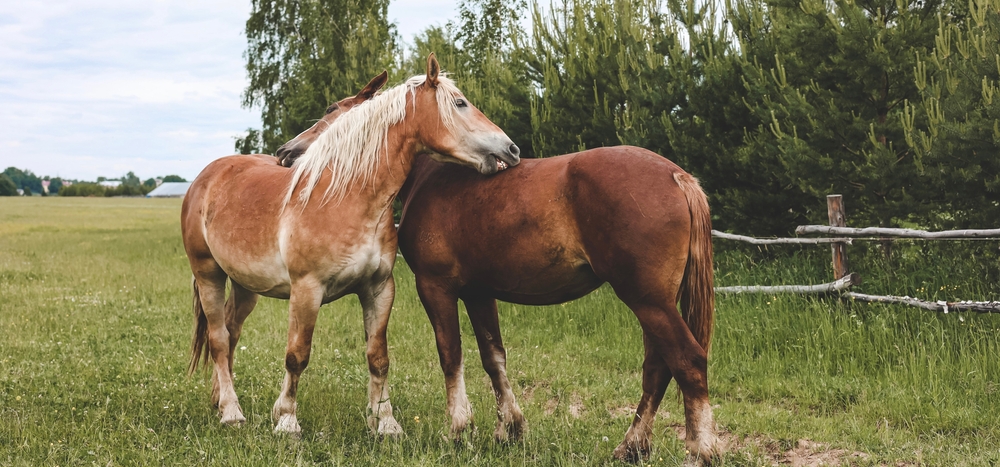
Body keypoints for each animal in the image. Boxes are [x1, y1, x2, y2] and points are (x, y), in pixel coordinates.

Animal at [182, 55, 524, 438]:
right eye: (461, 103)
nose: (511, 149)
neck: (346, 198)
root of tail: (207, 175)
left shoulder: (378, 288)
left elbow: (378, 358)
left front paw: (386, 424)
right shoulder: (306, 291)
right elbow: (297, 355)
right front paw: (286, 421)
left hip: (245, 286)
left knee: (230, 333)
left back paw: (220, 399)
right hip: (208, 274)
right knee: (218, 338)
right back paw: (231, 412)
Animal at [394, 151, 724, 464]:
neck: (433, 174)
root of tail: (677, 177)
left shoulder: (435, 287)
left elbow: (451, 356)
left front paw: (459, 431)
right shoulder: (479, 294)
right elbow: (493, 358)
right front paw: (509, 429)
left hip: (649, 303)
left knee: (687, 361)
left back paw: (700, 451)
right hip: (655, 305)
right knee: (657, 369)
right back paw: (631, 447)